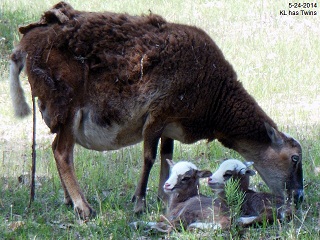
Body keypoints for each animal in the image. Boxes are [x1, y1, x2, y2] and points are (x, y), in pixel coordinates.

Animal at [8, 1, 302, 219]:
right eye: (295, 158)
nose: (299, 197)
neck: (215, 95)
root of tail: (25, 44)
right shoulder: (156, 113)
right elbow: (149, 157)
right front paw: (140, 203)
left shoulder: (171, 121)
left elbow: (166, 155)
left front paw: (164, 195)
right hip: (67, 106)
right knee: (61, 152)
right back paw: (84, 207)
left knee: (57, 148)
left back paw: (70, 201)